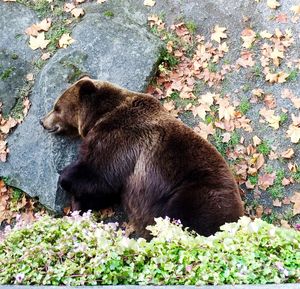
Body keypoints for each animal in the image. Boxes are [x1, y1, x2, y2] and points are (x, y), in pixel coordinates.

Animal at [41, 76, 244, 236]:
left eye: (56, 107)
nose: (42, 121)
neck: (100, 115)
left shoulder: (120, 139)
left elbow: (97, 174)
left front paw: (67, 181)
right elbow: (102, 189)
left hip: (195, 194)